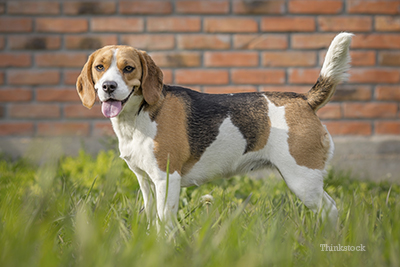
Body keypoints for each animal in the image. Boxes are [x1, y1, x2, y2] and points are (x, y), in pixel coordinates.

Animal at [76, 31, 352, 230]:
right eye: (99, 67)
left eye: (129, 68)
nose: (108, 86)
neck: (137, 117)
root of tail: (304, 99)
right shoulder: (145, 180)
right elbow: (153, 218)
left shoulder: (166, 178)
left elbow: (165, 220)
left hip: (302, 179)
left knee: (331, 210)